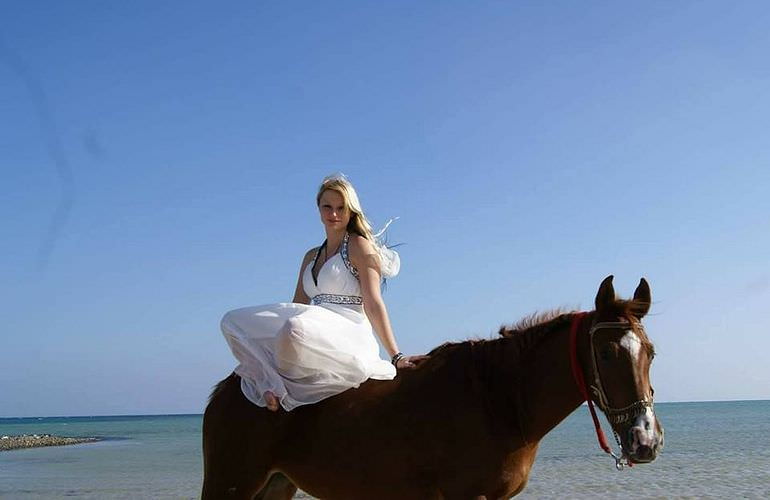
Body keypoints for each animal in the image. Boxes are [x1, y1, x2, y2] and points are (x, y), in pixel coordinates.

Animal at [202, 278, 660, 500]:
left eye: (651, 353)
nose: (646, 440)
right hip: (230, 485)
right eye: (605, 353)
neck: (499, 400)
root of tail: (229, 388)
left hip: (275, 485)